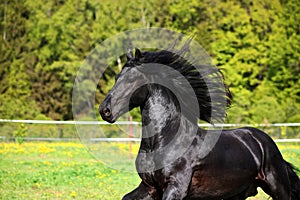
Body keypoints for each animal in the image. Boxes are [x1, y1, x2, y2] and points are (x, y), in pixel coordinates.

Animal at [99, 43, 298, 199]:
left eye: (132, 78)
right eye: (116, 78)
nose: (104, 110)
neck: (163, 141)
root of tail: (263, 140)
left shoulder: (176, 188)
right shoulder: (149, 187)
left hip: (277, 186)